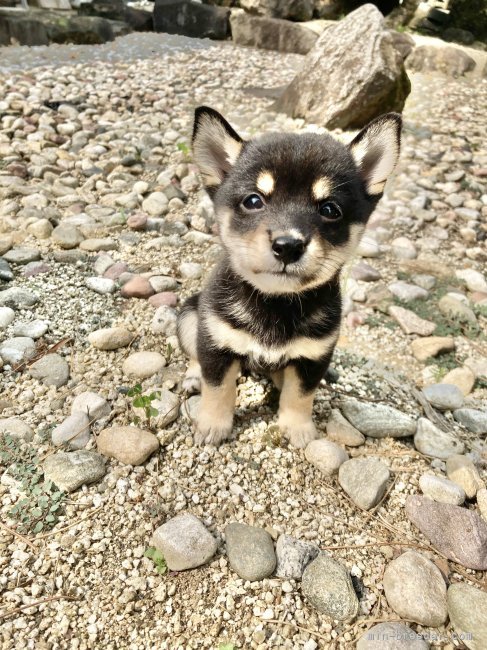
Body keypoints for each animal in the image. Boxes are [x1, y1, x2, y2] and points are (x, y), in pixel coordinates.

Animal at [177, 106, 402, 448]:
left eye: (330, 209)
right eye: (253, 200)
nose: (288, 246)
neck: (276, 304)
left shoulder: (312, 357)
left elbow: (300, 396)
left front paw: (297, 428)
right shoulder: (217, 343)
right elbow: (218, 389)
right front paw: (212, 425)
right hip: (190, 316)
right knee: (194, 353)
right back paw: (192, 376)